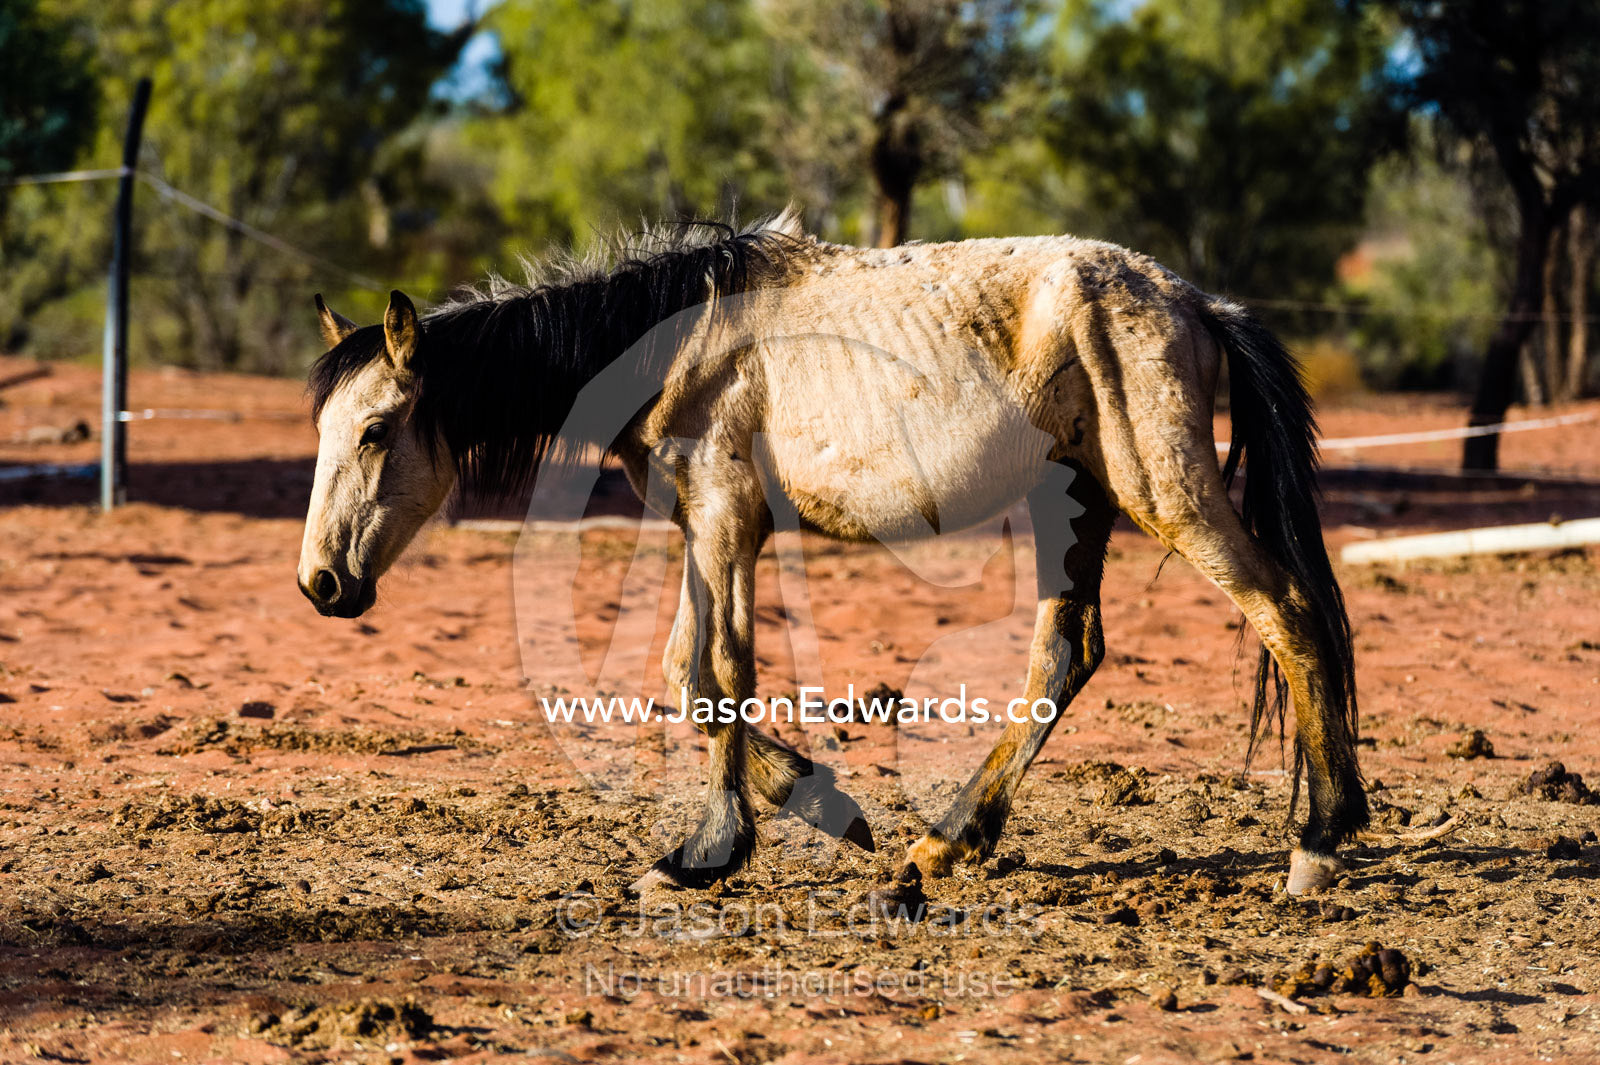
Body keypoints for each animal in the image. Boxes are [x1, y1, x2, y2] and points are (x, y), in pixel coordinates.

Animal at [297, 210, 1365, 897]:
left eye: (377, 431)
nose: (321, 583)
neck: (679, 336)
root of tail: (1200, 301)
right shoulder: (698, 522)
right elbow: (687, 673)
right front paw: (823, 803)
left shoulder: (726, 516)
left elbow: (726, 669)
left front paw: (710, 851)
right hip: (1076, 504)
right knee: (1065, 657)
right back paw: (941, 848)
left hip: (1166, 496)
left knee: (1288, 613)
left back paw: (1318, 845)